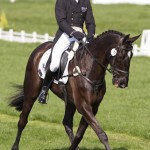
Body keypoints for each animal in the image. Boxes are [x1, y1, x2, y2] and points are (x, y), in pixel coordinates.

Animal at [8, 29, 140, 149]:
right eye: (121, 54)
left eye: (131, 55)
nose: (122, 83)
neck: (89, 70)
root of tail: (40, 47)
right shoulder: (83, 106)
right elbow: (101, 133)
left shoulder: (93, 107)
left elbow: (79, 135)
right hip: (31, 92)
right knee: (22, 120)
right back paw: (15, 146)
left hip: (70, 102)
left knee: (67, 123)